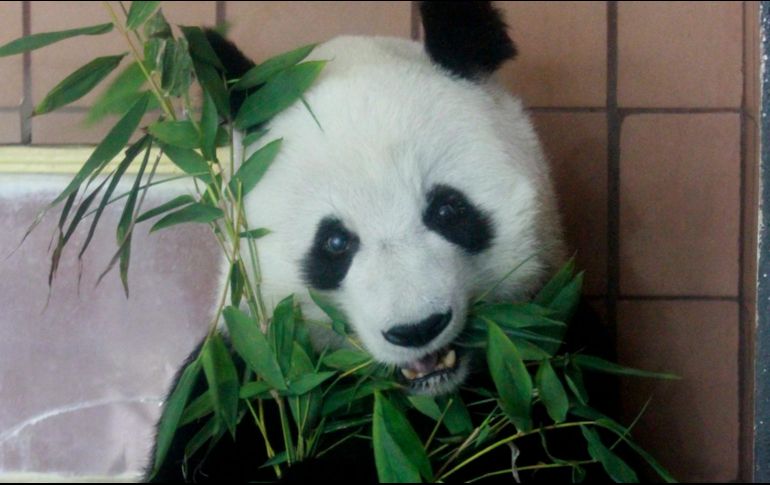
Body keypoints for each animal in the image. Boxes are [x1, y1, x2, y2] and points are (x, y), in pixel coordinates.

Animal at [148, 2, 612, 482]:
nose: (417, 328)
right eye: (335, 242)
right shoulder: (237, 381)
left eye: (447, 211)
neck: (423, 398)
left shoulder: (558, 350)